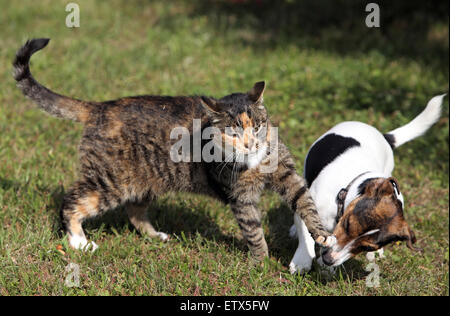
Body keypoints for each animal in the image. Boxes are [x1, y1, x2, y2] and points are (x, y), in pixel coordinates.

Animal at [13, 38, 334, 260]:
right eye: (232, 132)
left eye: (256, 126)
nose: (251, 143)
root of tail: (100, 107)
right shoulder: (240, 197)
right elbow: (253, 229)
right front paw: (260, 262)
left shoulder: (286, 175)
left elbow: (306, 203)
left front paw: (322, 236)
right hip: (110, 182)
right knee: (72, 202)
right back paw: (79, 242)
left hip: (144, 182)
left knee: (134, 211)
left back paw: (155, 236)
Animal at [290, 94, 444, 274]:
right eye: (348, 225)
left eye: (366, 247)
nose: (329, 260)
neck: (344, 192)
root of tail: (384, 136)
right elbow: (306, 235)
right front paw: (302, 261)